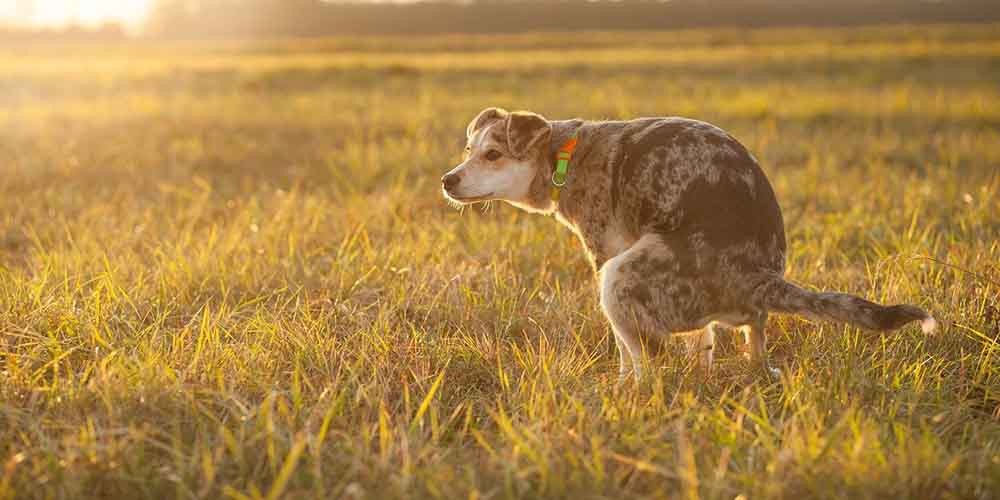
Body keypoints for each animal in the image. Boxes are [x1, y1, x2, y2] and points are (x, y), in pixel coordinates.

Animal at [442, 107, 932, 382]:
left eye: (492, 154)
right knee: (750, 340)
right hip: (732, 314)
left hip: (620, 277)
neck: (565, 153)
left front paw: (622, 385)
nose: (448, 180)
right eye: (468, 150)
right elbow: (703, 343)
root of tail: (759, 277)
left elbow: (626, 351)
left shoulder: (605, 254)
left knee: (650, 360)